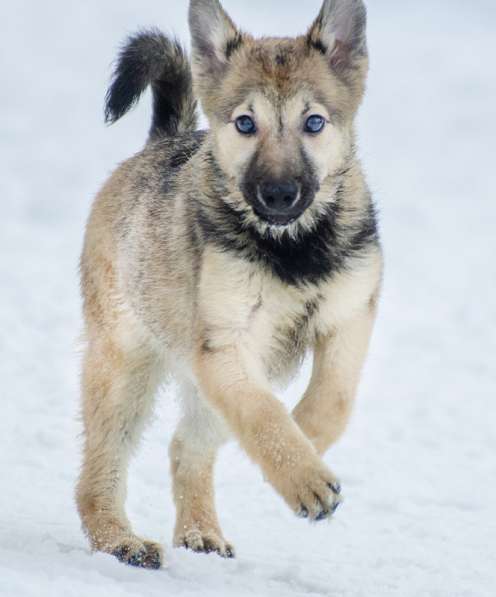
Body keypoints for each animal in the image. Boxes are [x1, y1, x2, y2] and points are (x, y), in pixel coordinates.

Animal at [75, 0, 382, 568]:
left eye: (314, 122)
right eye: (245, 123)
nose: (279, 195)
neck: (291, 250)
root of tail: (165, 140)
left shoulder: (349, 315)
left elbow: (332, 399)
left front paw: (307, 442)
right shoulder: (225, 344)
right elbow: (264, 415)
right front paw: (304, 476)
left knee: (185, 446)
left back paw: (200, 532)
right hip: (123, 366)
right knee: (99, 468)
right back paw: (119, 540)